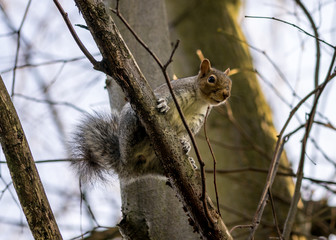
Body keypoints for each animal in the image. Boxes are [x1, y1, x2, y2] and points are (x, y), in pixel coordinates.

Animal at [71, 58, 231, 182]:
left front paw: (186, 144)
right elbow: (161, 96)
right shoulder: (173, 90)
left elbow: (186, 134)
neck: (199, 100)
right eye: (211, 79)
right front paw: (163, 105)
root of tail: (126, 165)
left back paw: (189, 161)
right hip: (129, 130)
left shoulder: (196, 121)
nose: (226, 95)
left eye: (230, 84)